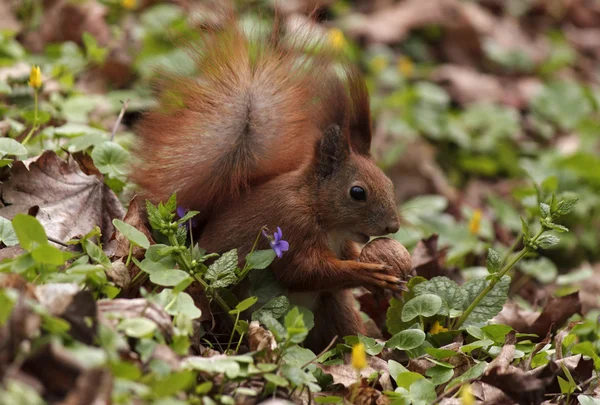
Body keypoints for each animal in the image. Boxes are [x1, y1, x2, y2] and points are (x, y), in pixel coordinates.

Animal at [131, 16, 404, 350]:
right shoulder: (291, 224)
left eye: (389, 182)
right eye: (357, 192)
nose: (393, 227)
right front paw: (369, 275)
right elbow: (304, 271)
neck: (318, 210)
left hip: (334, 307)